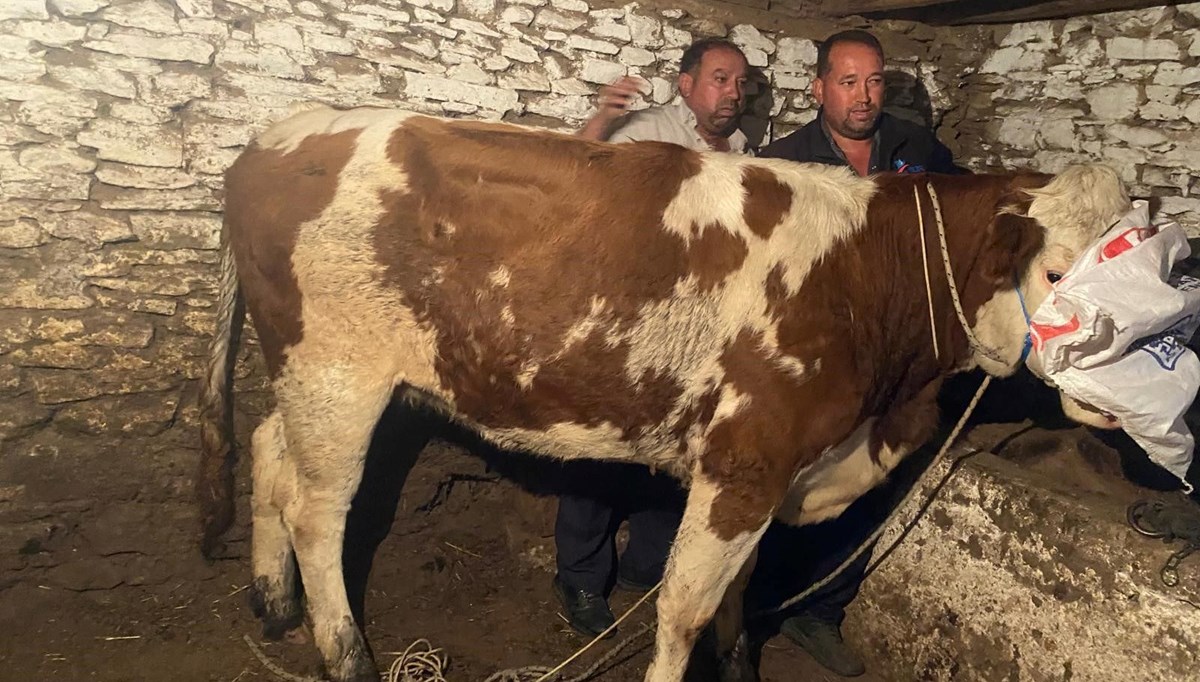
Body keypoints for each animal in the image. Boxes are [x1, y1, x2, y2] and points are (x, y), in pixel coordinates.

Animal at [194, 102, 1123, 682]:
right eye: (1052, 271)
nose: (1108, 395)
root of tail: (277, 136)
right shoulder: (745, 458)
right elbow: (683, 604)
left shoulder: (769, 470)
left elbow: (739, 588)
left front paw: (739, 665)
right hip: (338, 371)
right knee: (318, 509)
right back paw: (345, 654)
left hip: (310, 375)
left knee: (269, 452)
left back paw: (272, 602)